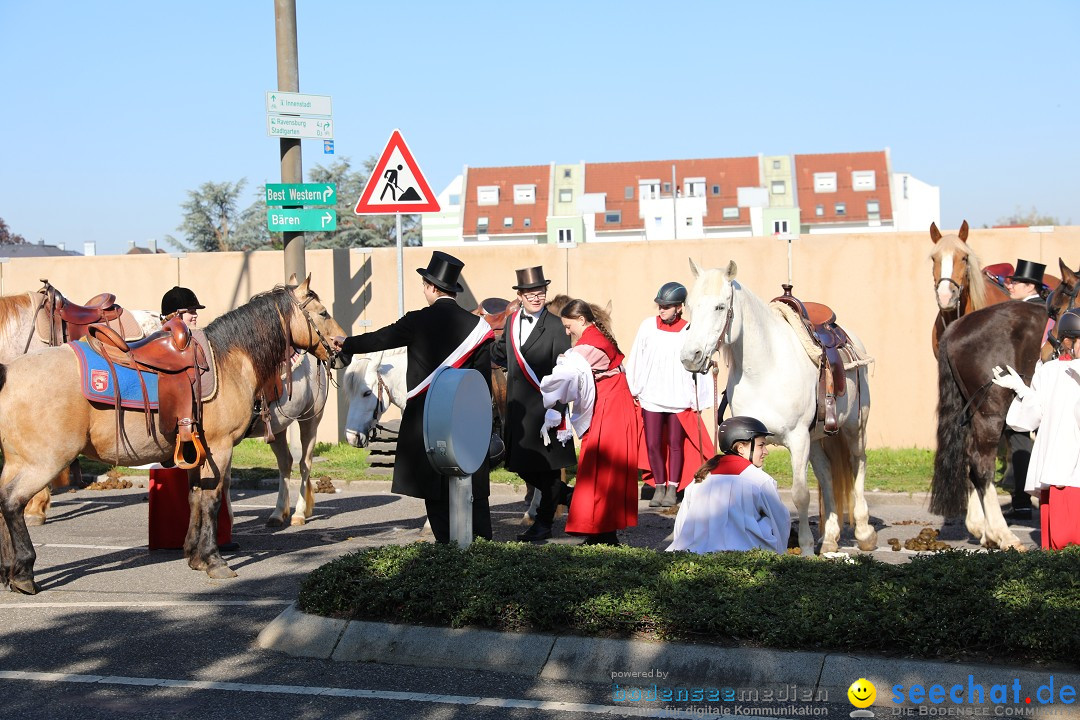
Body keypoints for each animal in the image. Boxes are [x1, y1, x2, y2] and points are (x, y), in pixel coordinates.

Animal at [0, 276, 343, 591]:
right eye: (323, 312)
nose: (341, 344)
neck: (229, 360)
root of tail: (9, 372)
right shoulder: (219, 448)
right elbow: (211, 500)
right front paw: (214, 560)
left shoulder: (199, 452)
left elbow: (195, 498)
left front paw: (194, 554)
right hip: (42, 463)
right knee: (12, 503)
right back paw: (23, 571)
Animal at [682, 260, 876, 557]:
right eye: (690, 306)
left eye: (719, 307)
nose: (689, 357)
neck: (765, 368)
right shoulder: (768, 439)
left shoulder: (798, 438)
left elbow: (800, 494)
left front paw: (805, 547)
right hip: (817, 437)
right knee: (826, 474)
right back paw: (830, 538)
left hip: (855, 426)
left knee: (858, 462)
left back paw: (864, 532)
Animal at [933, 257, 1075, 546]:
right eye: (1054, 310)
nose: (1048, 354)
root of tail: (957, 327)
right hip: (990, 412)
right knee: (980, 463)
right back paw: (1001, 533)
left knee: (969, 459)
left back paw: (983, 529)